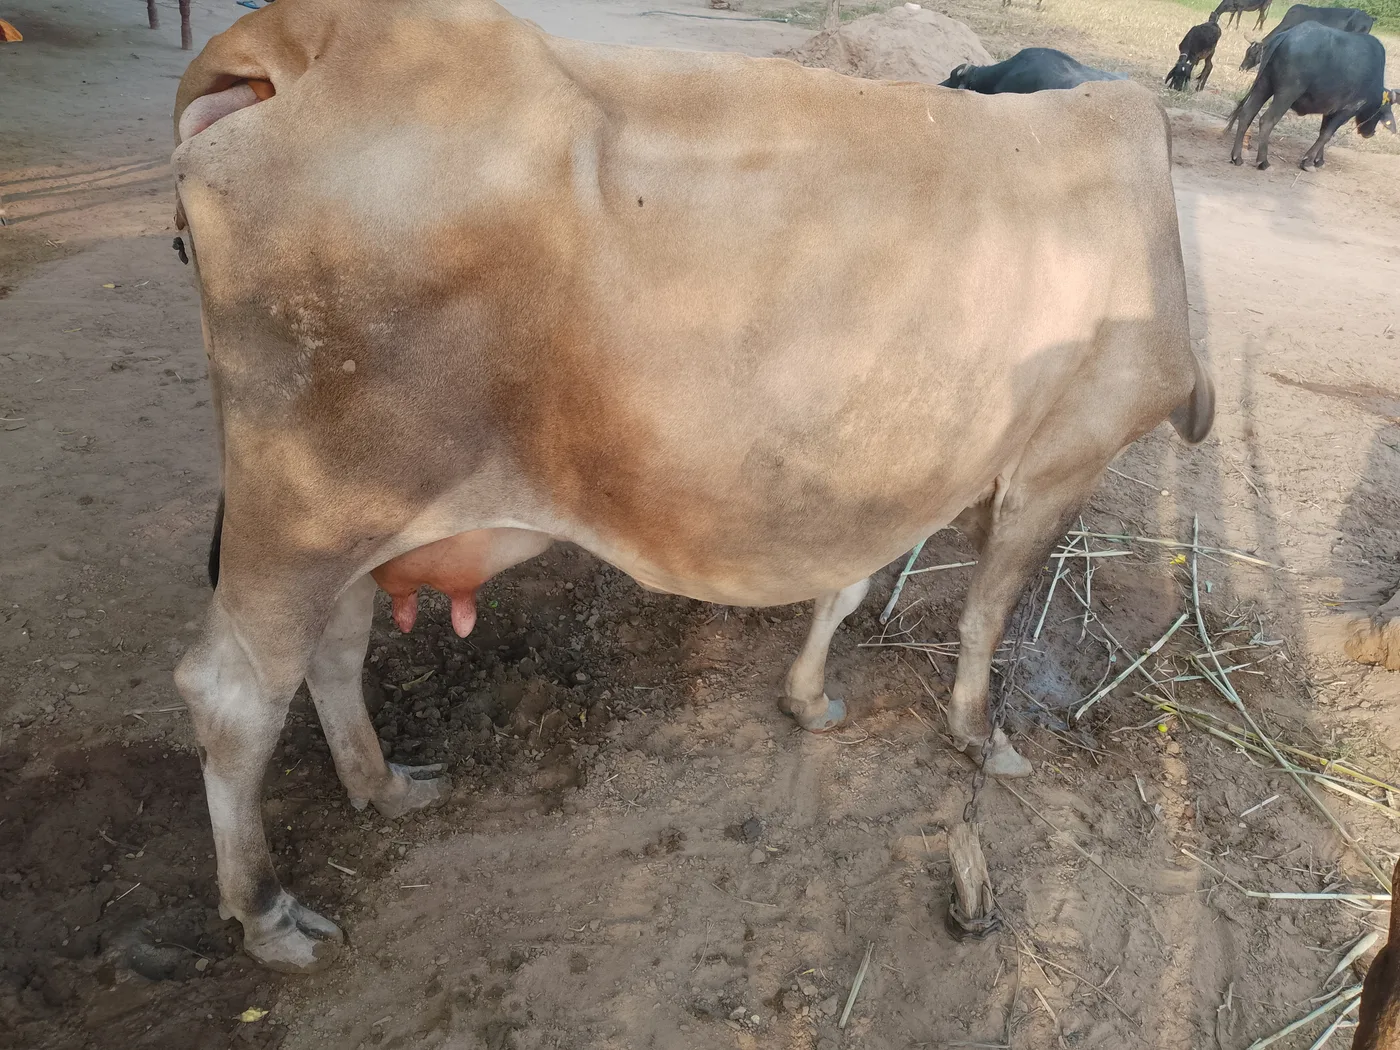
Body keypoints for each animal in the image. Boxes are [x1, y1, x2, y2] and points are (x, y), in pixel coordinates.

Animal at [1228, 22, 1396, 170]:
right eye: (1381, 112)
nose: (1370, 133)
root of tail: (1287, 35)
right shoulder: (1347, 110)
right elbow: (1327, 135)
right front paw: (1308, 161)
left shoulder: (1330, 110)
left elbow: (1324, 132)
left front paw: (1318, 160)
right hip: (1286, 94)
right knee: (1267, 120)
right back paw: (1263, 161)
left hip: (1263, 85)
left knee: (1246, 113)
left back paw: (1237, 157)